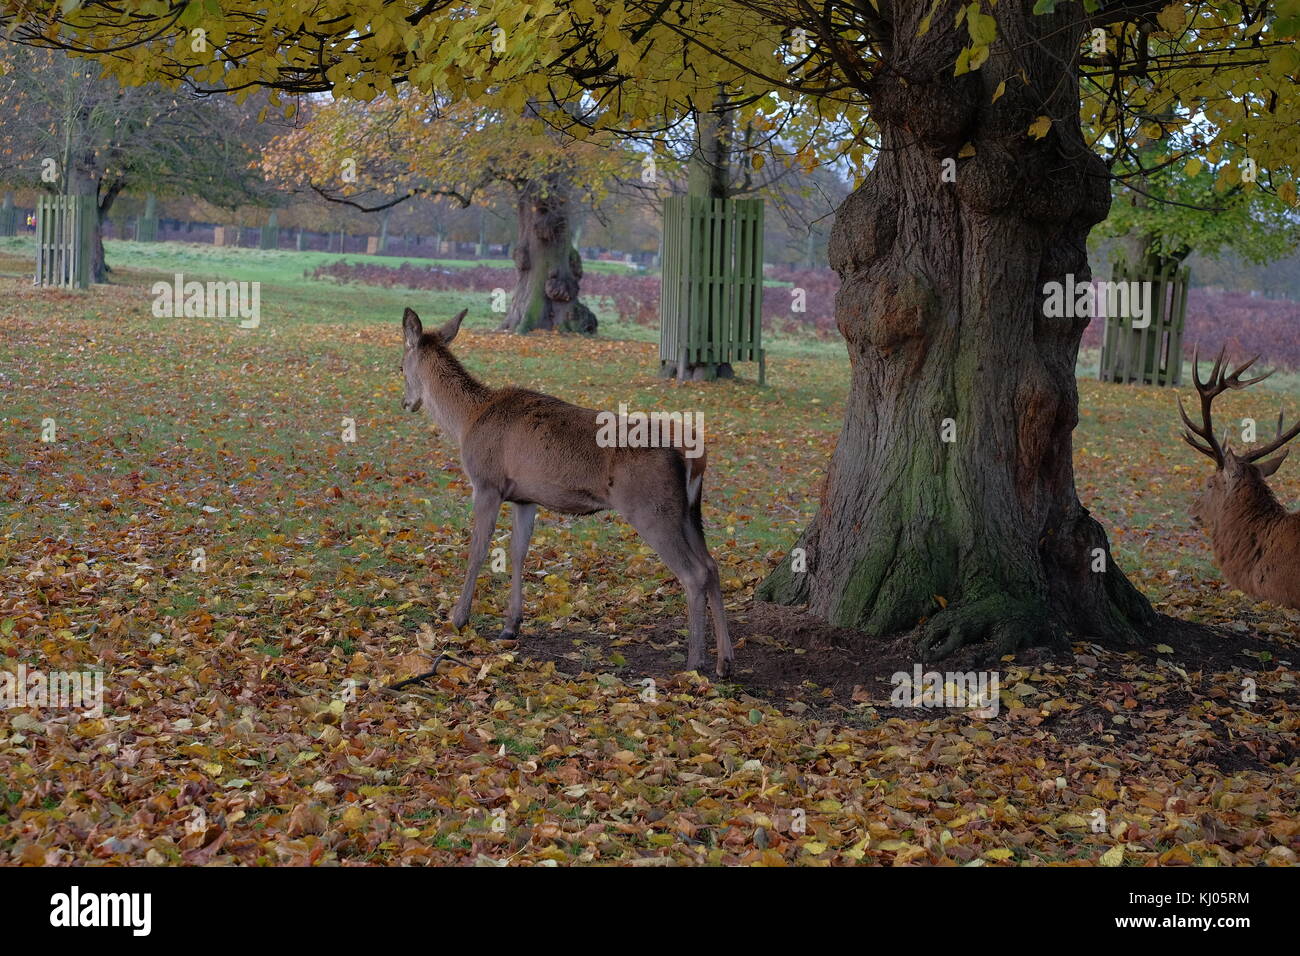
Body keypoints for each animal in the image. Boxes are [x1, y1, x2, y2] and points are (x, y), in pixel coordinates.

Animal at [400, 310, 738, 676]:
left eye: (400, 367)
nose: (406, 402)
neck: (465, 421)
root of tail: (694, 455)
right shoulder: (524, 497)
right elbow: (518, 552)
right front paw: (511, 625)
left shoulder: (486, 482)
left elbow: (477, 550)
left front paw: (458, 618)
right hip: (689, 510)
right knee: (712, 565)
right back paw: (724, 661)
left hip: (652, 508)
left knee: (694, 573)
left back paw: (694, 663)